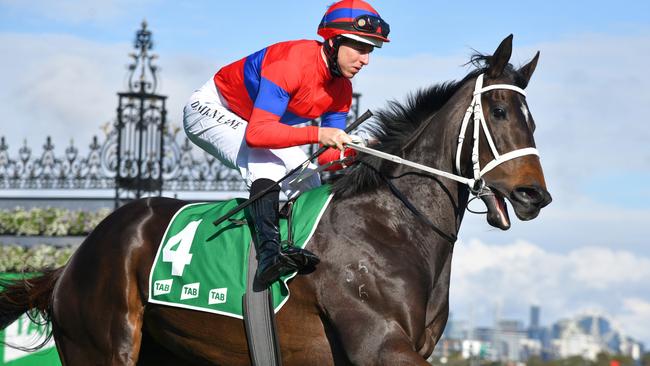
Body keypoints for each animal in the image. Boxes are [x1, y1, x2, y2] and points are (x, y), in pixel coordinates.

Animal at [0, 35, 548, 366]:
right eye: (499, 111)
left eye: (532, 119)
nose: (534, 195)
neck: (390, 226)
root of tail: (73, 260)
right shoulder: (378, 344)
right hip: (102, 346)